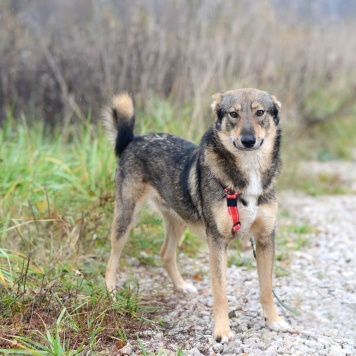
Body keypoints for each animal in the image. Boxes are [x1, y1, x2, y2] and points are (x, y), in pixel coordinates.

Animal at [101, 88, 290, 342]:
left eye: (260, 112)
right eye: (233, 114)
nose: (248, 141)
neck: (248, 171)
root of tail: (133, 140)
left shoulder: (265, 239)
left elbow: (266, 289)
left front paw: (274, 321)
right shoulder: (217, 241)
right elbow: (220, 293)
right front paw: (222, 331)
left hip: (179, 219)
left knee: (165, 253)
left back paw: (181, 286)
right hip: (126, 216)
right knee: (112, 259)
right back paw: (110, 293)